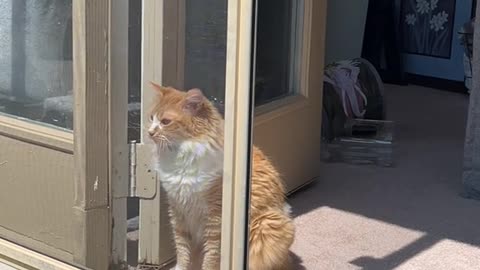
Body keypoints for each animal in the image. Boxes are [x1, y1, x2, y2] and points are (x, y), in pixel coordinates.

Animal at [148, 83, 294, 270]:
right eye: (152, 118)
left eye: (166, 122)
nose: (150, 132)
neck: (182, 155)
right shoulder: (179, 211)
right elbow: (182, 250)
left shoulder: (215, 219)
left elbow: (211, 255)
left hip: (266, 226)